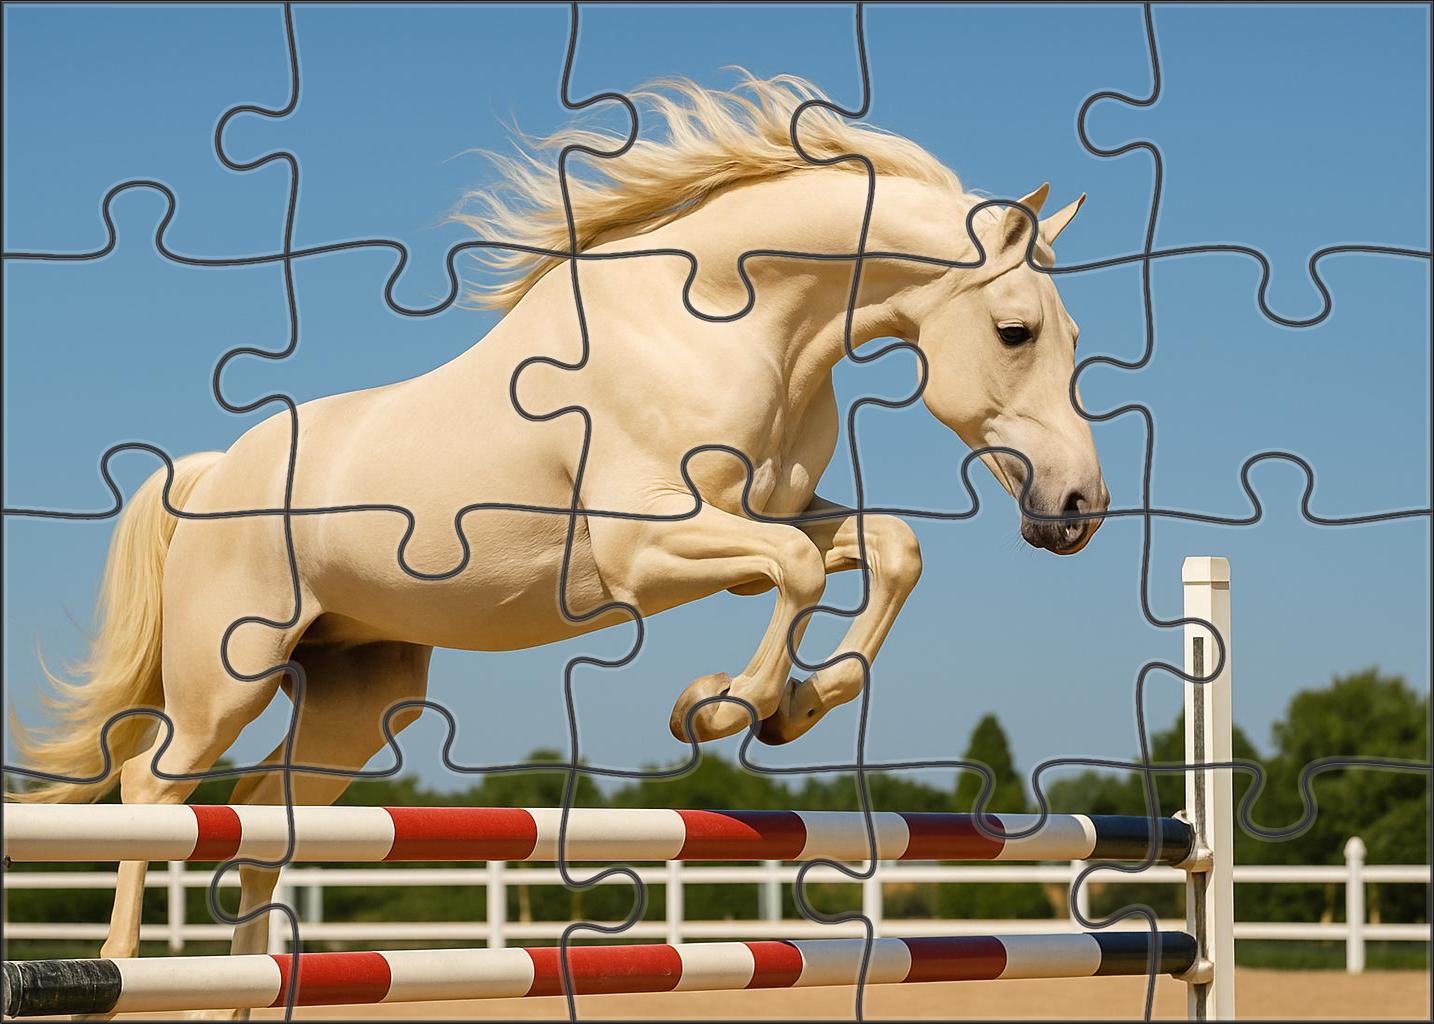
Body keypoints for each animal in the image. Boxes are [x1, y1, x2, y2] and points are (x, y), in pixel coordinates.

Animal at [11, 74, 1106, 995]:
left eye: (1074, 337)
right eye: (1015, 332)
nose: (1077, 508)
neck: (728, 319)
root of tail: (212, 469)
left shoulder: (769, 517)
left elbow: (889, 549)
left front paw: (797, 707)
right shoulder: (651, 545)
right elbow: (801, 572)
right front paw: (721, 709)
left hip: (358, 704)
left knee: (256, 821)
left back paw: (247, 990)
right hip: (225, 677)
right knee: (154, 786)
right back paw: (118, 964)